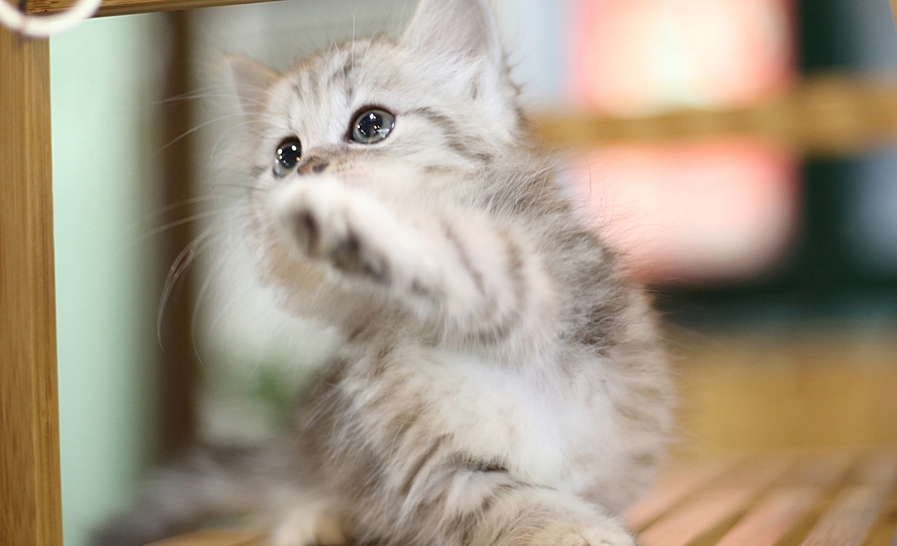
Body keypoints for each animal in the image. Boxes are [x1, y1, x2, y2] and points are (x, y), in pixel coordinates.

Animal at [94, 0, 674, 545]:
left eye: (370, 125)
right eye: (287, 154)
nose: (307, 170)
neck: (424, 324)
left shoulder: (550, 290)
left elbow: (462, 258)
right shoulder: (426, 471)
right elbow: (514, 502)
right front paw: (573, 528)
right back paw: (315, 520)